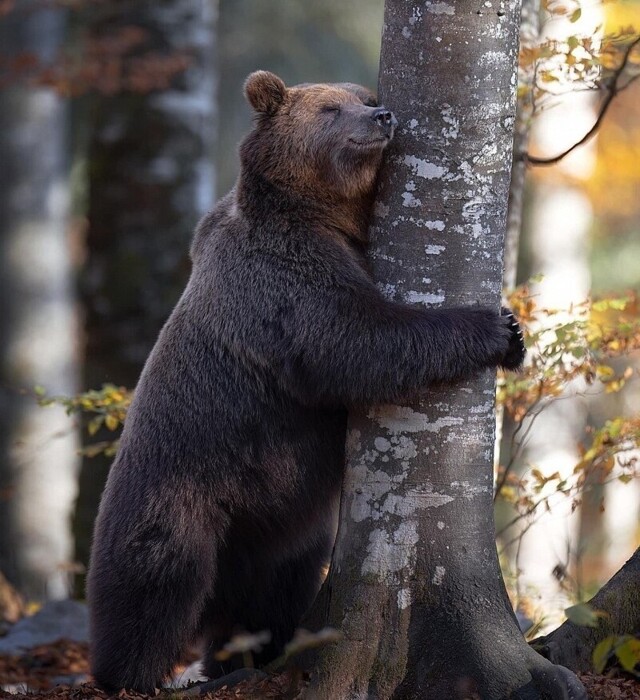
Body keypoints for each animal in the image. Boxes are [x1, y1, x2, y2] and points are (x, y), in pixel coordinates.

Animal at [86, 71, 524, 696]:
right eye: (329, 109)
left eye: (364, 98)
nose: (383, 116)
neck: (322, 214)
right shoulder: (283, 277)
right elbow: (351, 340)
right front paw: (497, 327)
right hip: (180, 484)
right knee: (154, 579)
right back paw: (131, 672)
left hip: (283, 528)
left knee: (268, 597)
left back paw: (247, 657)